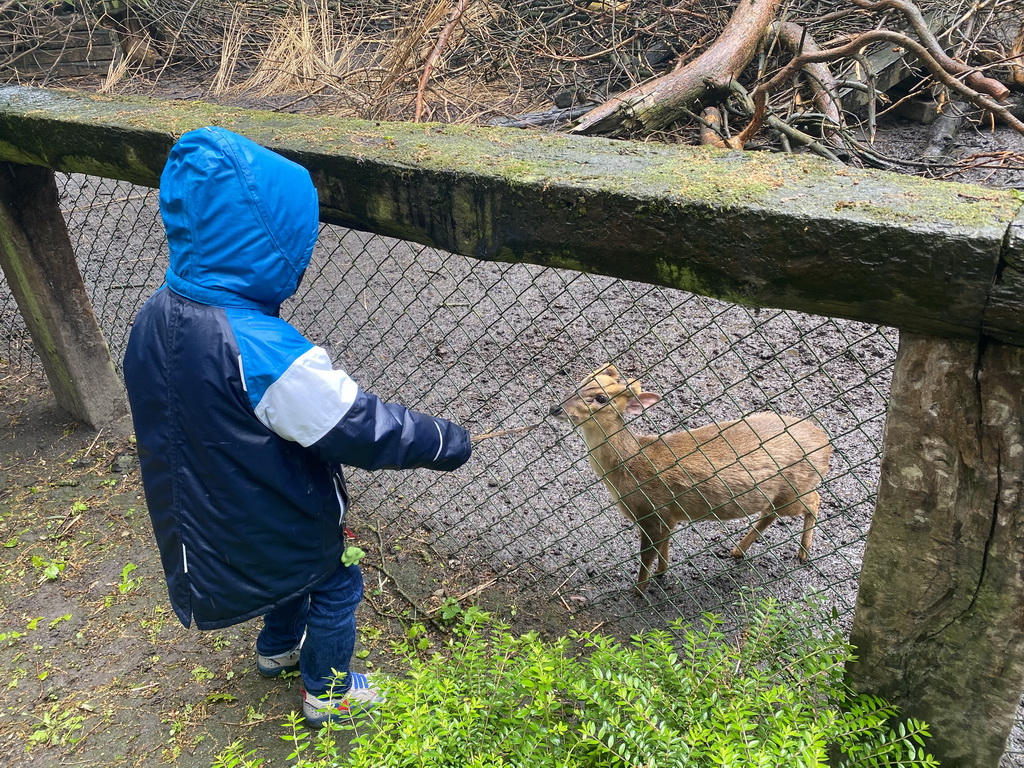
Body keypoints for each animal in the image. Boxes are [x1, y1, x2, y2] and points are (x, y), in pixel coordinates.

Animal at [552, 364, 831, 593]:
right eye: (581, 382)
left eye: (601, 398)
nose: (555, 407)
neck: (627, 466)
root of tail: (826, 443)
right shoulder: (668, 516)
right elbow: (664, 548)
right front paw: (662, 573)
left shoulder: (651, 512)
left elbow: (646, 556)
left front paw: (639, 591)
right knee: (772, 513)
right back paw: (737, 550)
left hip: (795, 488)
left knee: (815, 500)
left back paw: (803, 553)